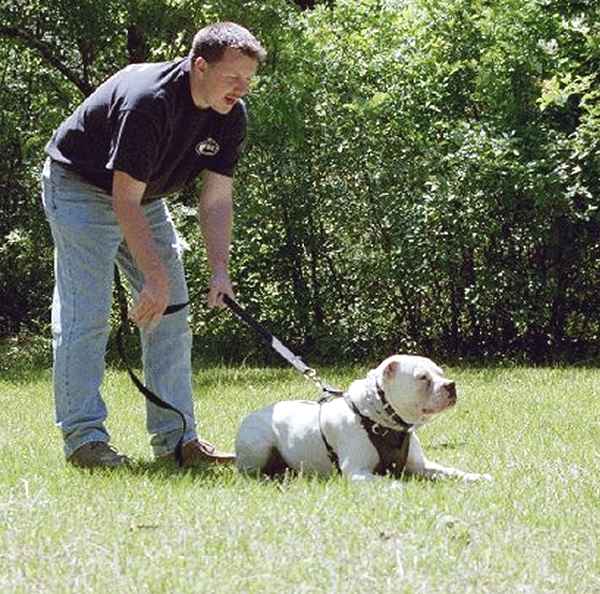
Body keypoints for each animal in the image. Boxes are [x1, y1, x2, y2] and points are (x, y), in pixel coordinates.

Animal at [234, 354, 492, 478]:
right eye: (422, 378)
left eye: (441, 372)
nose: (451, 385)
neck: (381, 420)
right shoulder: (357, 472)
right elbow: (389, 481)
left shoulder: (422, 465)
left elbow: (453, 472)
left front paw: (477, 477)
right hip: (258, 447)